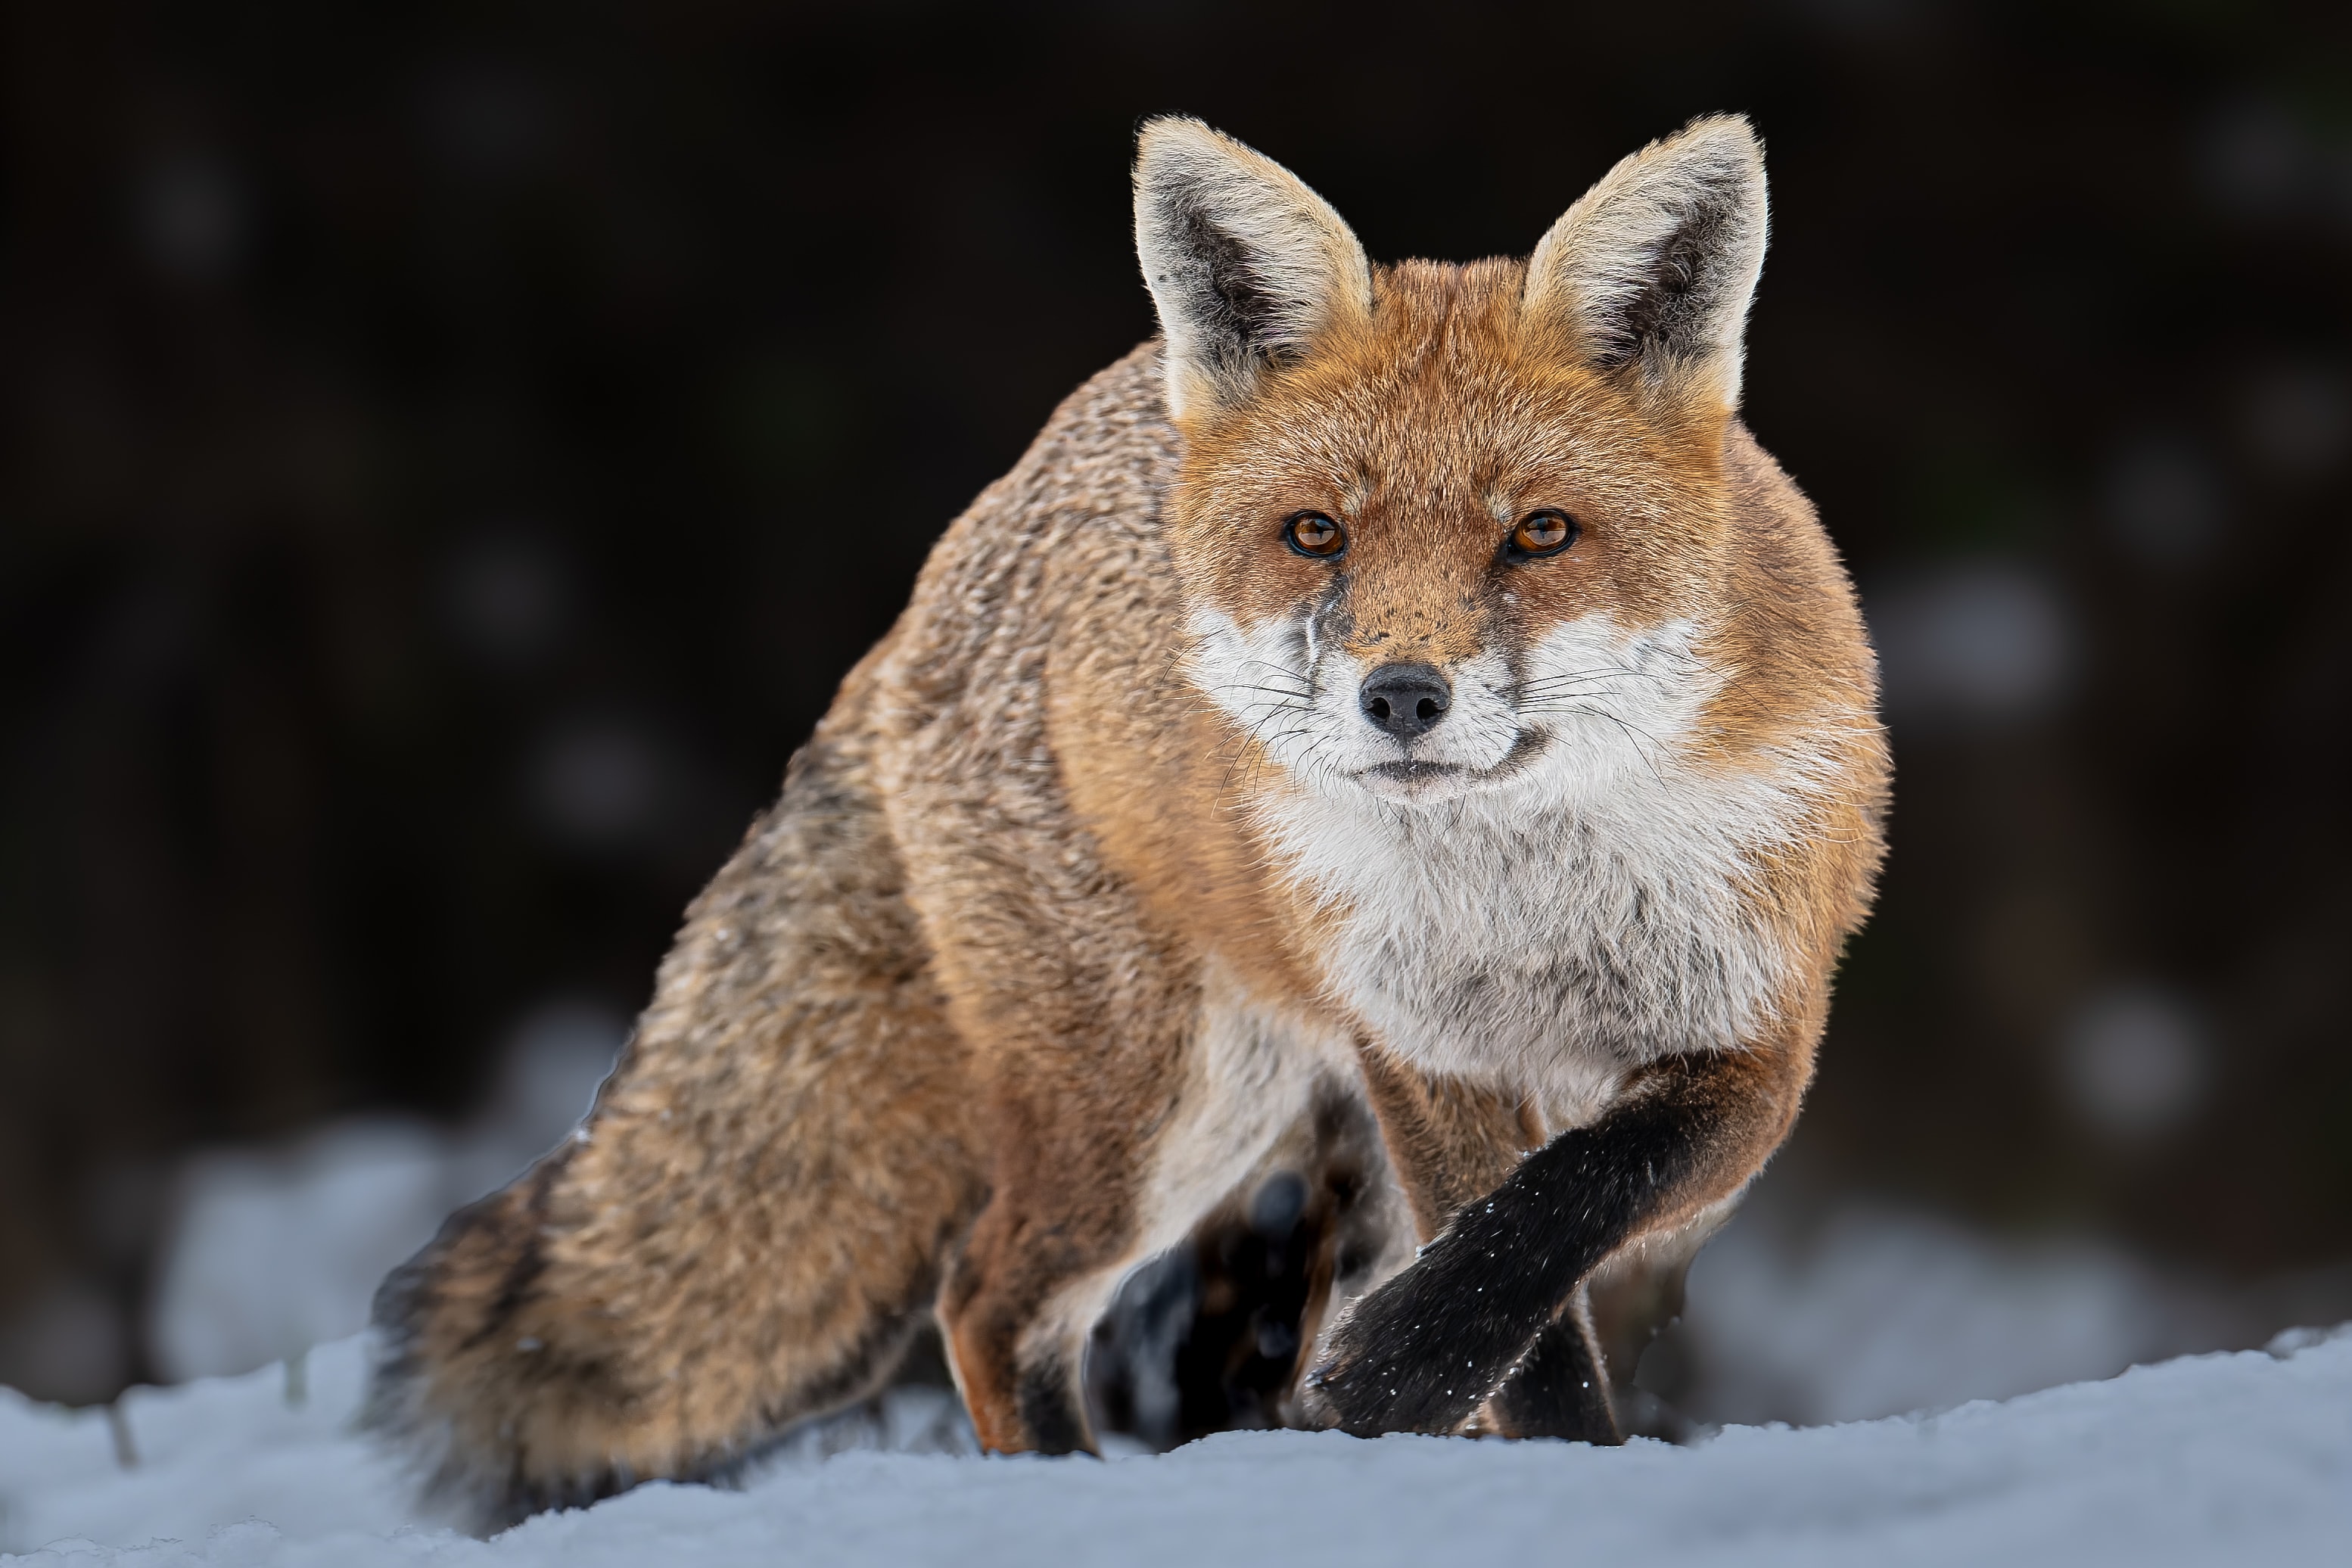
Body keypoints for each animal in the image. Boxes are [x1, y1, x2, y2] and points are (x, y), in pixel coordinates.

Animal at [367, 112, 1888, 1525]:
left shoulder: (1758, 1046)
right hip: (1159, 1102)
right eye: (1318, 535)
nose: (1402, 695)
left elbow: (1570, 1204)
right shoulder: (1420, 1057)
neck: (1532, 906)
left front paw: (1446, 1389)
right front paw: (1500, 1428)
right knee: (986, 1298)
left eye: (1541, 535)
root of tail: (956, 550)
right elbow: (1530, 1318)